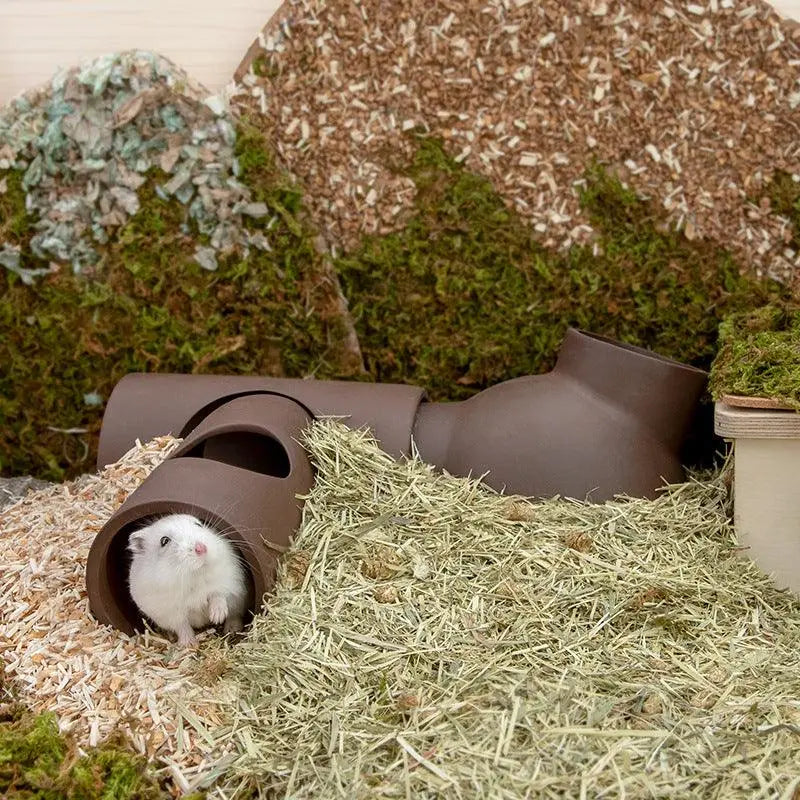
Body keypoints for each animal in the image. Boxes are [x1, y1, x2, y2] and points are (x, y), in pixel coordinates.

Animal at [127, 513, 248, 646]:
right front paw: (188, 644)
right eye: (164, 541)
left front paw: (217, 617)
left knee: (234, 615)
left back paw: (232, 630)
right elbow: (182, 626)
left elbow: (218, 594)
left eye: (198, 524)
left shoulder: (228, 582)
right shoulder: (169, 614)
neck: (193, 575)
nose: (201, 548)